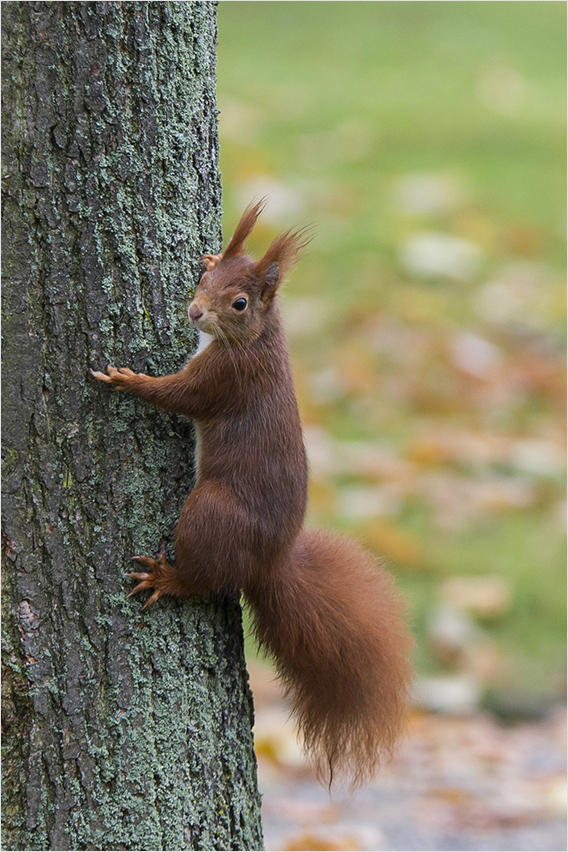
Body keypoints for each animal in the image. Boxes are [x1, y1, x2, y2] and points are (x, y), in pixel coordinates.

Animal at [92, 200, 412, 784]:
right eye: (205, 278)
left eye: (239, 303)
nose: (195, 311)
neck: (261, 337)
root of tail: (269, 563)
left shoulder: (224, 379)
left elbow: (178, 396)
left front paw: (129, 380)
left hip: (210, 511)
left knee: (203, 578)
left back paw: (168, 578)